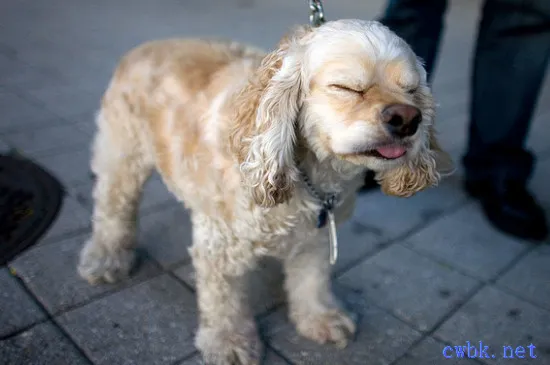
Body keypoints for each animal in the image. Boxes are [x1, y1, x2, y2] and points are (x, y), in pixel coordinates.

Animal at [80, 19, 454, 364]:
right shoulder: (220, 243)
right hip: (122, 156)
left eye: (411, 91)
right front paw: (229, 342)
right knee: (112, 208)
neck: (312, 176)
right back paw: (106, 258)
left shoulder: (316, 237)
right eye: (347, 88)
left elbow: (312, 280)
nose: (408, 119)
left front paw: (321, 318)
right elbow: (224, 300)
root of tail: (142, 47)